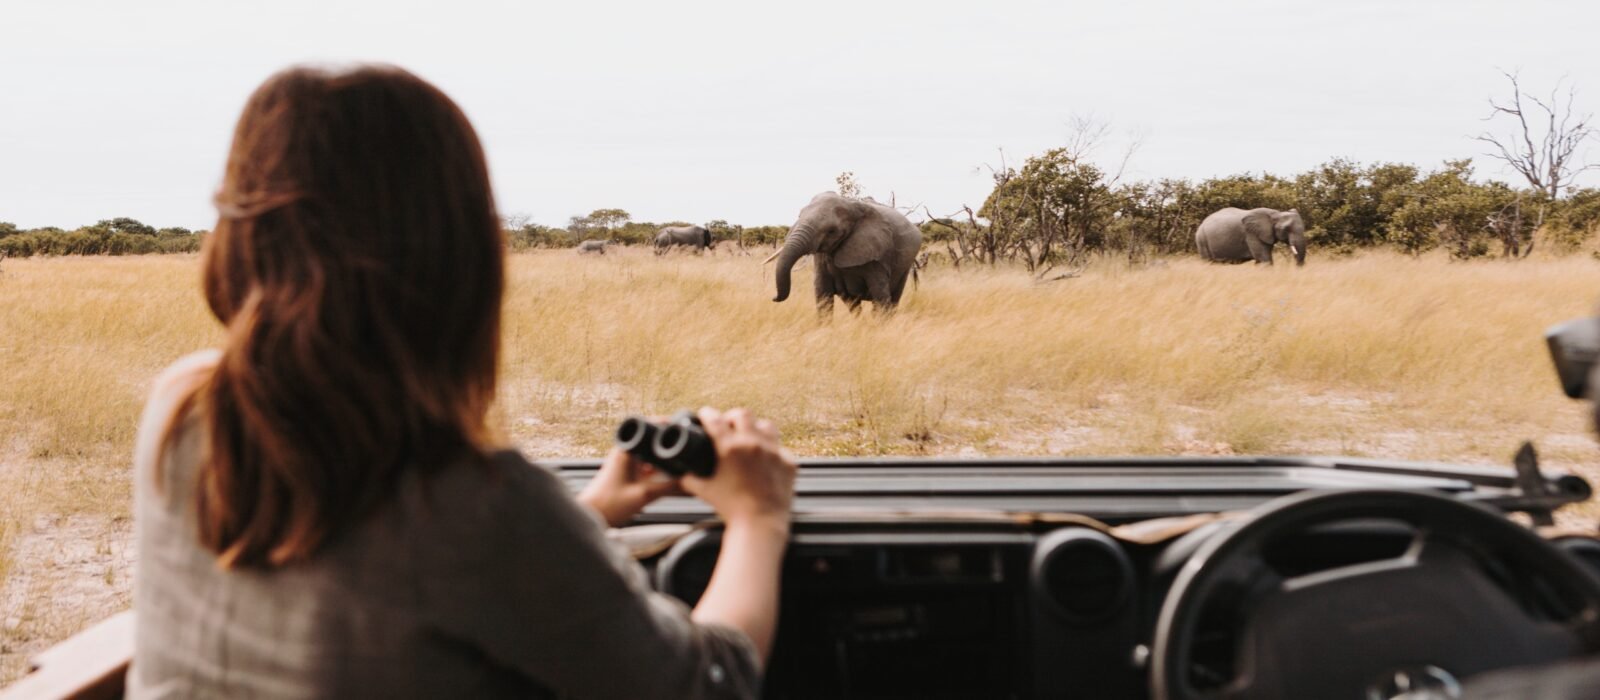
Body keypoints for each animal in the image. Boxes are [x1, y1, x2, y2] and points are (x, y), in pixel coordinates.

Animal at [764, 188, 921, 314]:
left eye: (831, 231)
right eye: (799, 215)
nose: (773, 297)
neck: (853, 206)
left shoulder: (879, 257)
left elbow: (880, 297)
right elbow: (822, 296)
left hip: (905, 264)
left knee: (893, 299)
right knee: (854, 305)